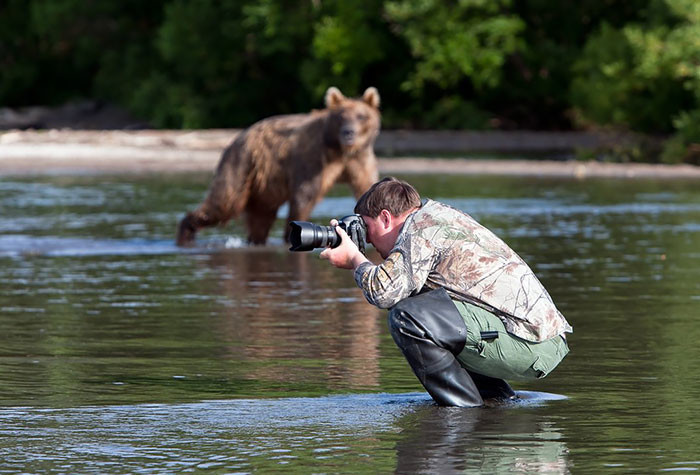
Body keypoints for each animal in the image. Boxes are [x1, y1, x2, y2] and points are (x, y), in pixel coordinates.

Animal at [175, 87, 382, 247]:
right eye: (341, 116)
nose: (349, 133)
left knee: (260, 218)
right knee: (224, 203)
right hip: (240, 165)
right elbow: (304, 195)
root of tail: (236, 138)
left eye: (361, 116)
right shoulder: (313, 159)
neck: (339, 150)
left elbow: (366, 187)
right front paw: (290, 235)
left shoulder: (360, 160)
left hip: (263, 186)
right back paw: (186, 234)